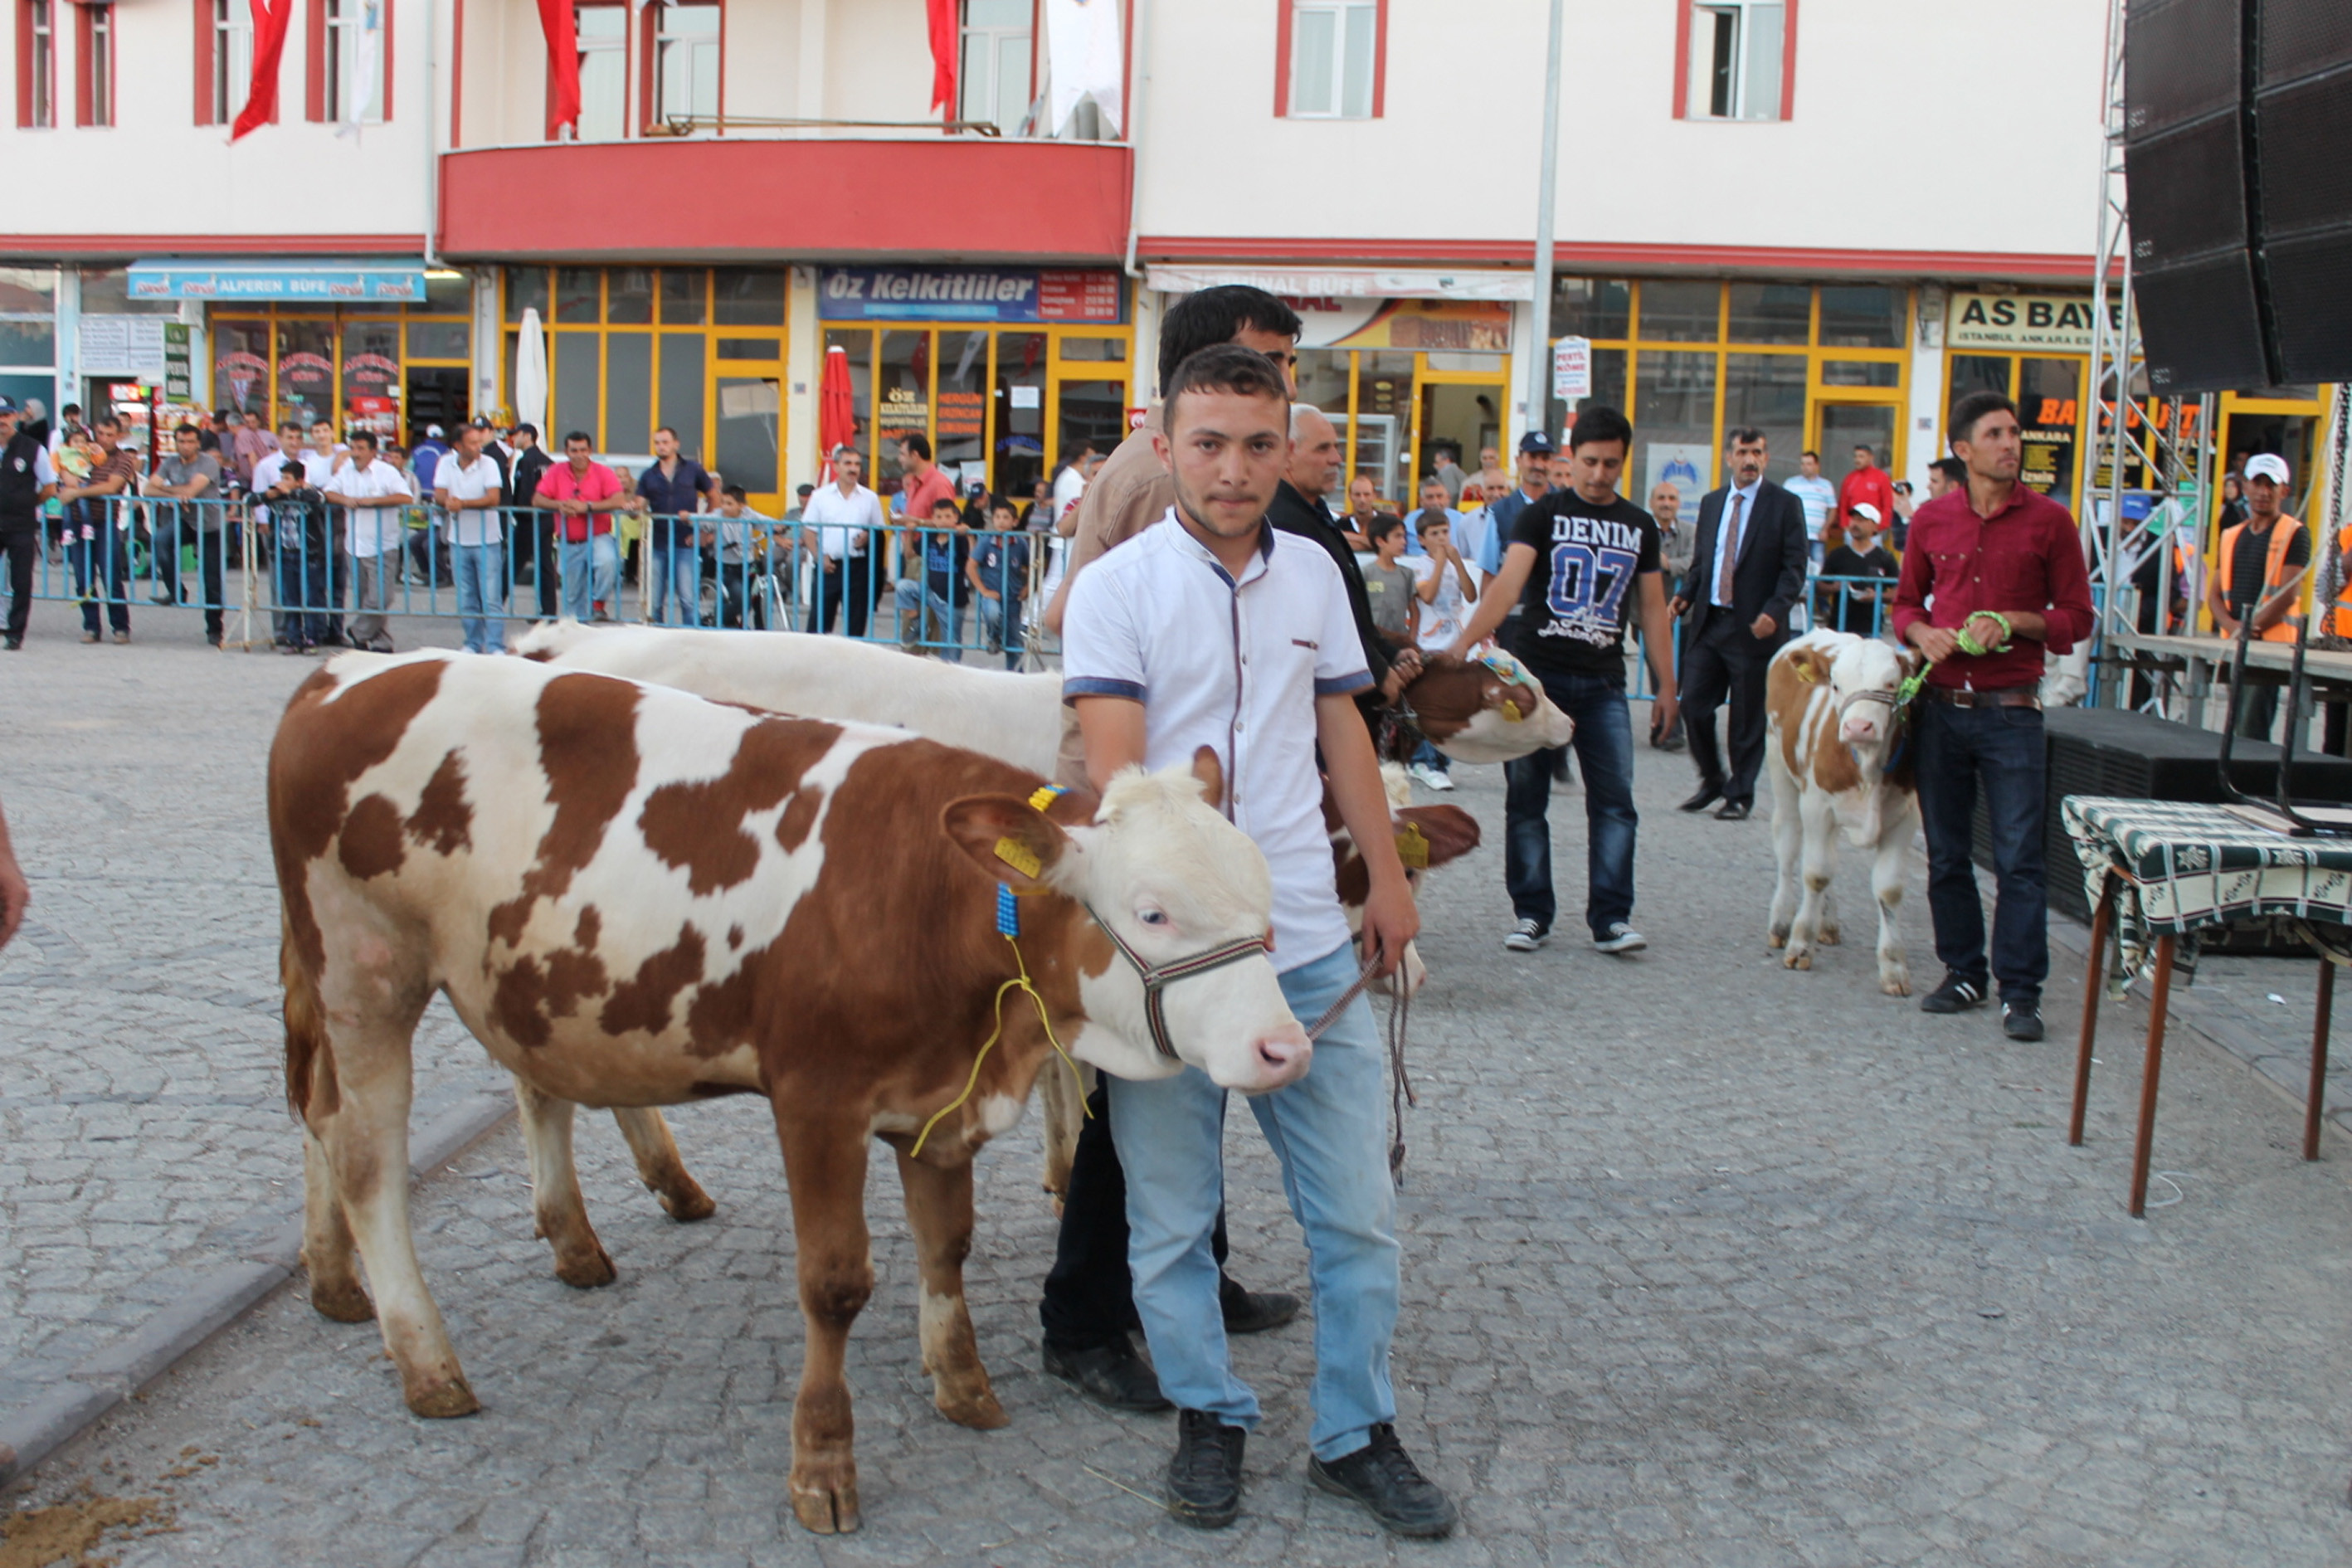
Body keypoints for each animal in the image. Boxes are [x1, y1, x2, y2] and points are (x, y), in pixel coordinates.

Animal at [275, 649, 1317, 1532]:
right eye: (1152, 912)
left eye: (1266, 894)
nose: (1284, 1048)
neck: (927, 896)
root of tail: (345, 672)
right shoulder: (818, 1099)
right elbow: (835, 1283)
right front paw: (823, 1466)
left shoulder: (940, 1100)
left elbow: (947, 1247)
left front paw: (964, 1387)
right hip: (365, 970)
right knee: (366, 1151)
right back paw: (426, 1360)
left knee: (326, 1112)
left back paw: (353, 1279)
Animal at [1759, 630, 1919, 987]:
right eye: (1835, 684)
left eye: (1892, 683)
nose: (1858, 726)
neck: (1868, 768)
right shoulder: (1817, 805)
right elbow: (1816, 874)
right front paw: (1800, 944)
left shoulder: (1905, 816)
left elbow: (1889, 889)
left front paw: (1893, 965)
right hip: (1780, 768)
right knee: (1789, 848)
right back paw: (1780, 921)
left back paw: (1827, 922)